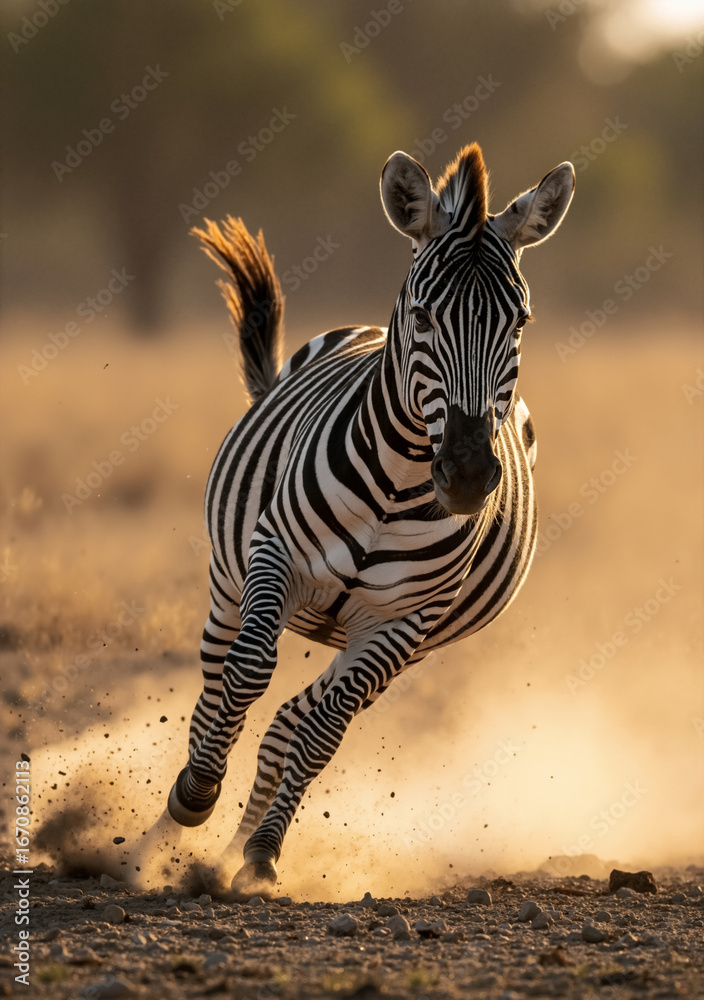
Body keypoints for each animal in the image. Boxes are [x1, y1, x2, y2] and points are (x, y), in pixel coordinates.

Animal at [167, 142, 575, 898]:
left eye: (520, 323)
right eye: (423, 316)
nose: (466, 475)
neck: (398, 484)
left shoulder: (402, 622)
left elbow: (321, 733)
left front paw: (262, 854)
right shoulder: (274, 558)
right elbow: (247, 674)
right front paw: (197, 794)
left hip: (387, 644)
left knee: (292, 721)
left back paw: (232, 852)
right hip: (227, 583)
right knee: (217, 683)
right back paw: (169, 826)